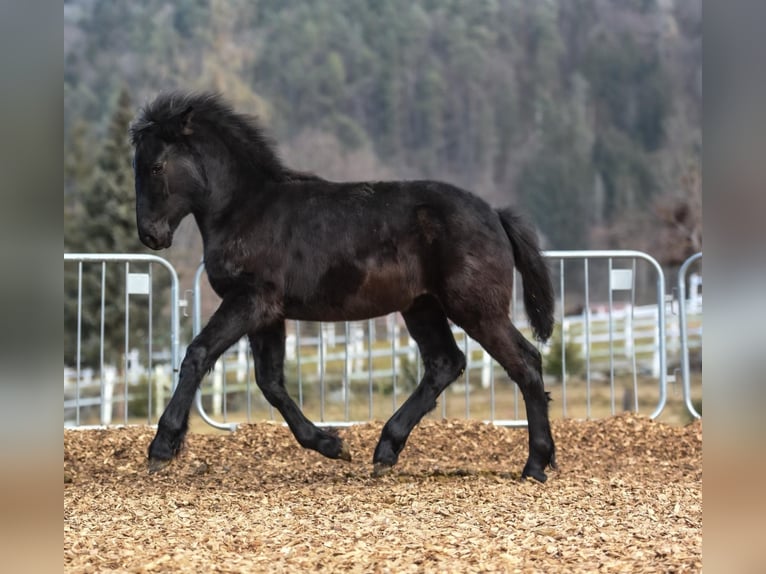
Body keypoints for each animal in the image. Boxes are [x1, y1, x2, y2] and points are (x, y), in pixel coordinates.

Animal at [129, 92, 556, 484]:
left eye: (156, 166)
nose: (150, 235)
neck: (246, 208)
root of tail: (495, 215)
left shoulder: (248, 301)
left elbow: (198, 354)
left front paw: (162, 447)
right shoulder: (268, 314)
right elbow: (270, 382)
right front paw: (331, 444)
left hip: (475, 308)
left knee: (525, 363)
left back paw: (536, 464)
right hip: (422, 306)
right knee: (445, 363)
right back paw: (386, 450)